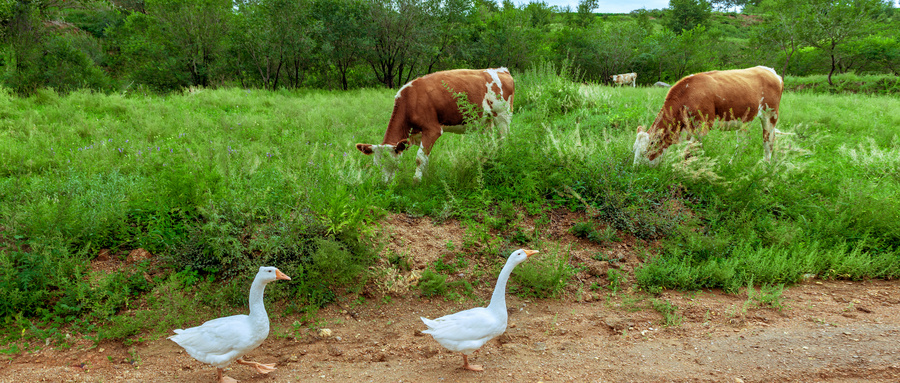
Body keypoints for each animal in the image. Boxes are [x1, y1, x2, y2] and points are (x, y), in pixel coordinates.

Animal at [356, 68, 512, 182]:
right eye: (376, 165)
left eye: (391, 163)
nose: (384, 183)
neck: (410, 100)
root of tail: (501, 70)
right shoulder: (418, 136)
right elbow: (426, 158)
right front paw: (425, 178)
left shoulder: (432, 130)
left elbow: (419, 158)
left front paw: (416, 181)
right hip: (485, 121)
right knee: (490, 143)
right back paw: (486, 160)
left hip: (502, 115)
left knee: (504, 139)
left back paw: (501, 158)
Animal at [628, 65, 784, 166]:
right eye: (634, 149)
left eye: (645, 152)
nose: (636, 169)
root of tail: (770, 71)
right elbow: (695, 149)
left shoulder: (703, 126)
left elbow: (688, 152)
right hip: (744, 120)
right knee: (743, 142)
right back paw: (731, 164)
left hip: (770, 115)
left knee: (768, 141)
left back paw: (766, 166)